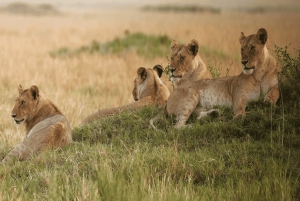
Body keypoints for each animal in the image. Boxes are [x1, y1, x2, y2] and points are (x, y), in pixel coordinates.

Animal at [151, 28, 280, 129]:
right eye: (242, 49)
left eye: (252, 48)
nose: (171, 69)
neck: (259, 72)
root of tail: (168, 101)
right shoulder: (238, 96)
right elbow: (239, 106)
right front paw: (239, 117)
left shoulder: (274, 85)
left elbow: (275, 91)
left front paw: (269, 101)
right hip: (190, 97)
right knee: (178, 125)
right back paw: (195, 126)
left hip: (198, 107)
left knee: (197, 116)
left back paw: (214, 114)